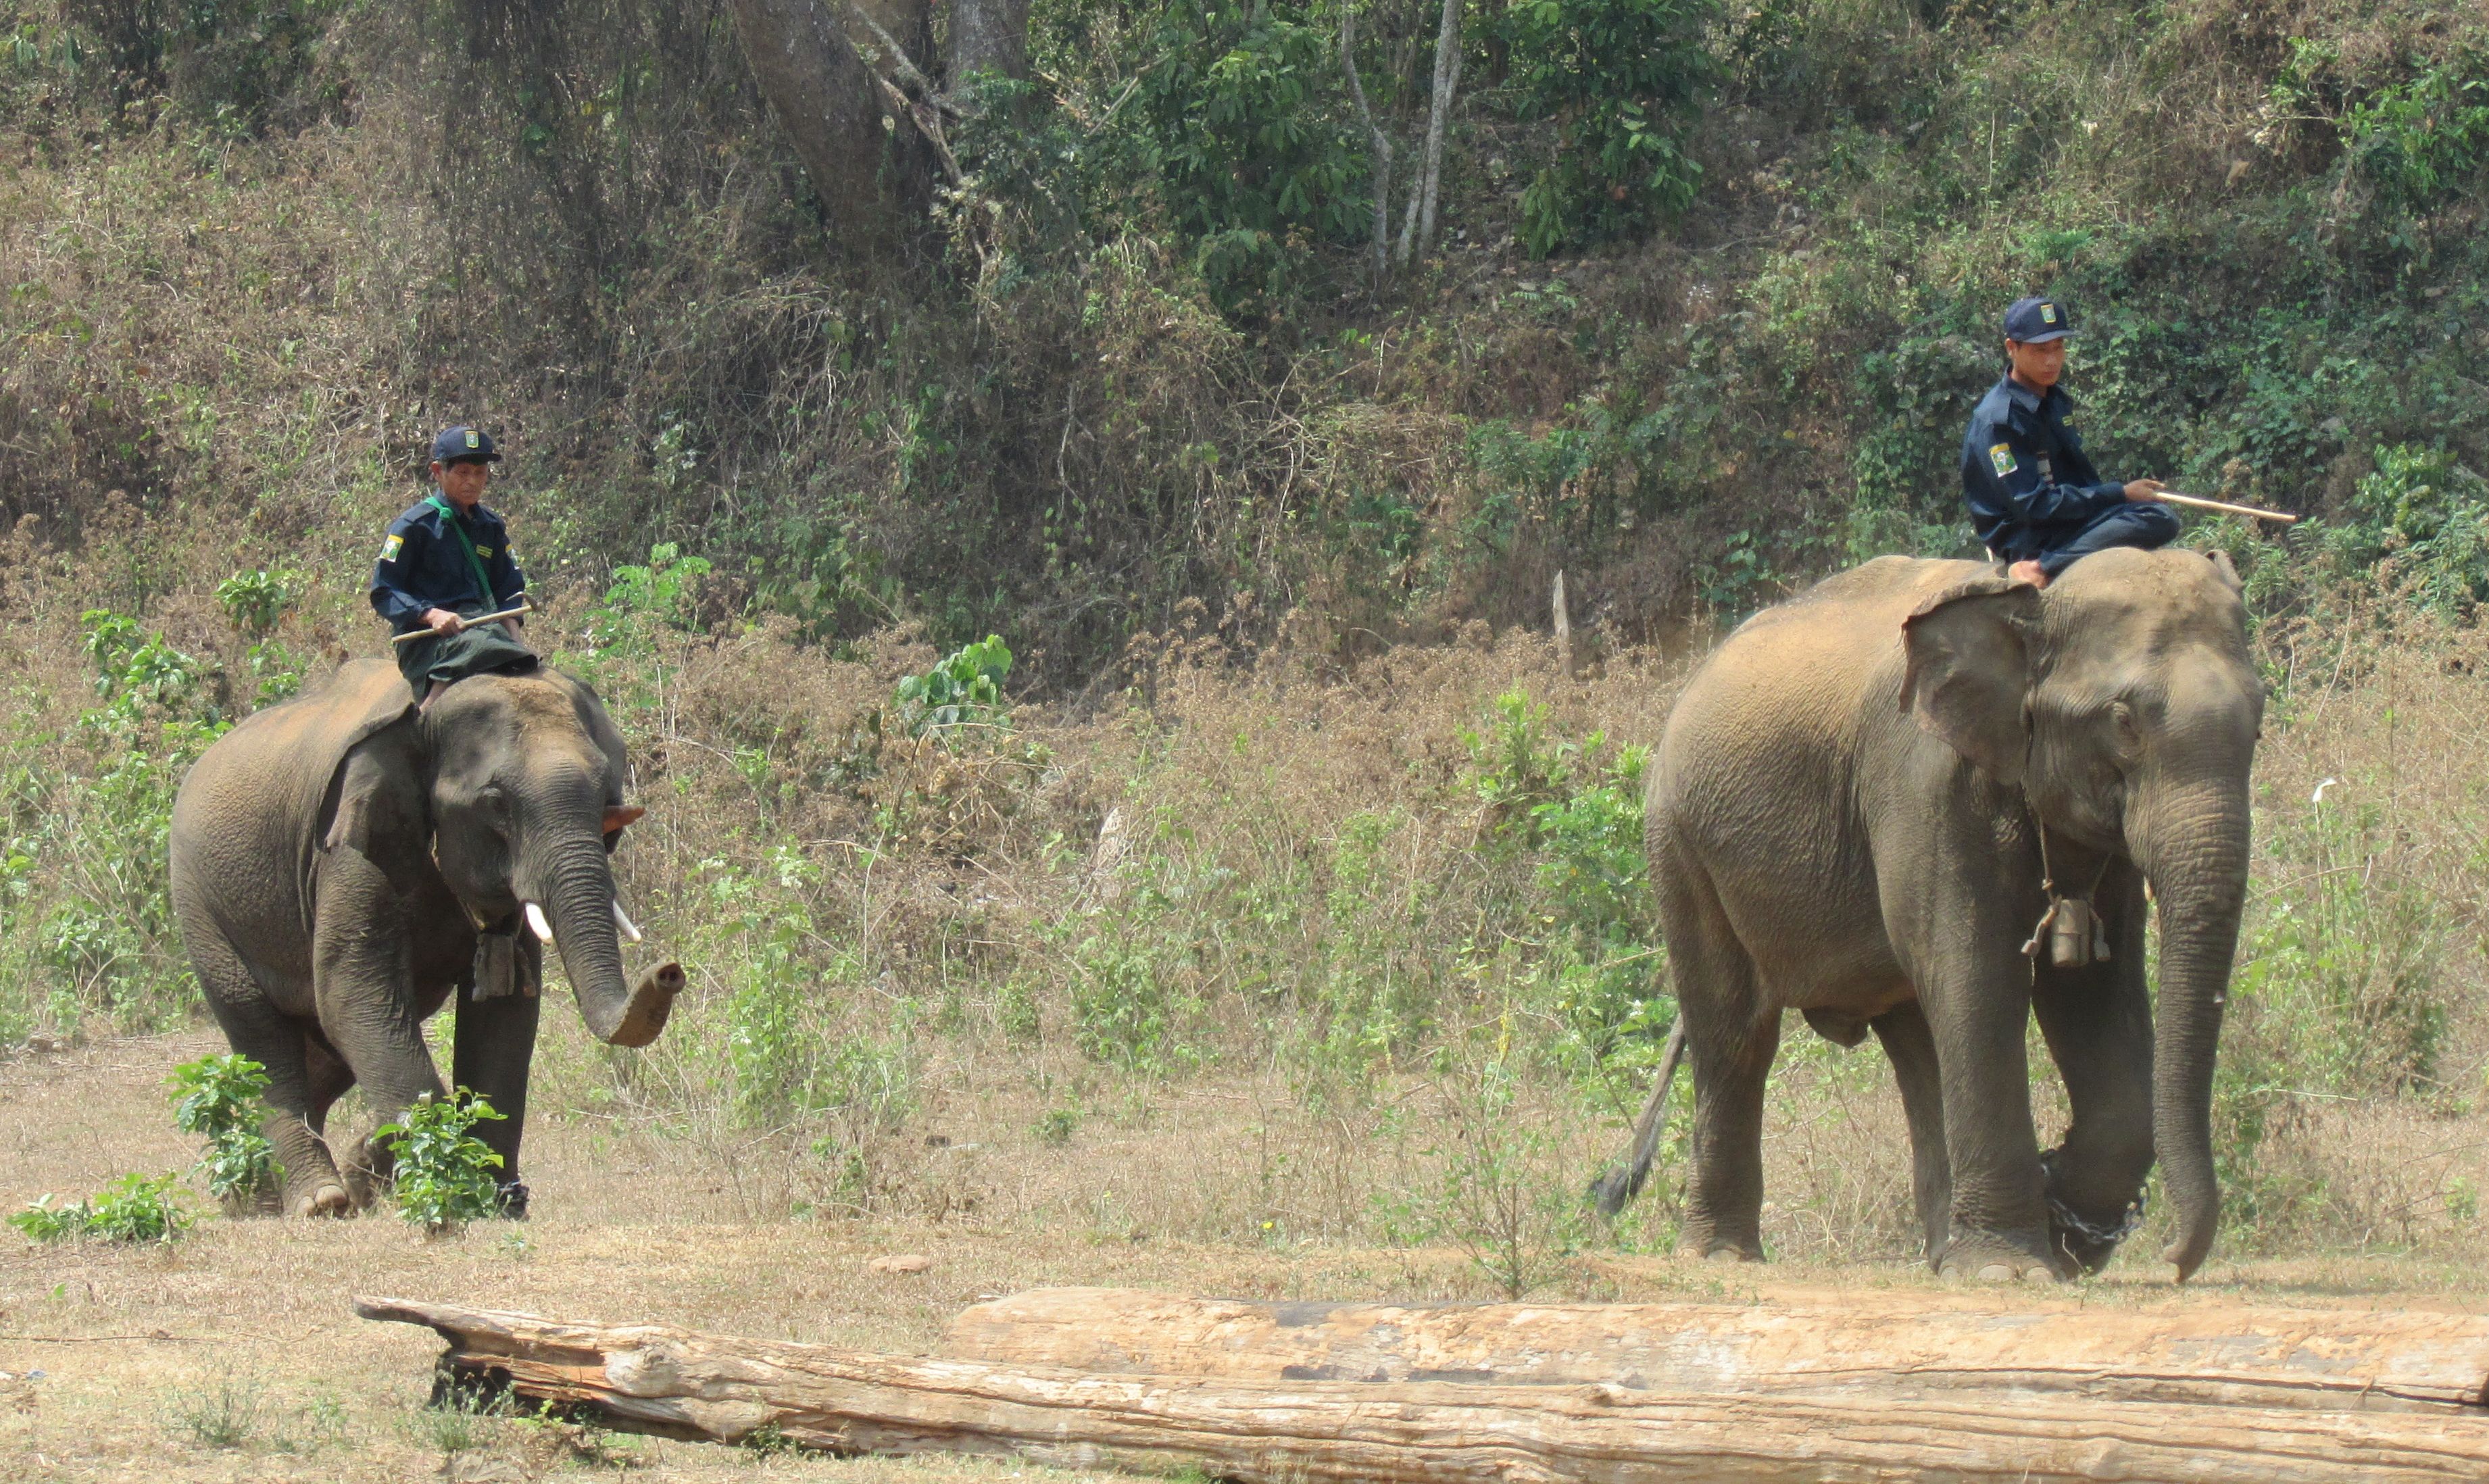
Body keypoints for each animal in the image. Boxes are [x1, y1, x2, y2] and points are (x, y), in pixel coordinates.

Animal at [169, 662, 682, 1215]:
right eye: (495, 804)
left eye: (606, 795)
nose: (670, 971)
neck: (426, 715)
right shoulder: (349, 846)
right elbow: (352, 993)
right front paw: (420, 1173)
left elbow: (506, 1013)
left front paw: (495, 1201)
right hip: (201, 908)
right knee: (262, 1036)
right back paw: (317, 1200)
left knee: (325, 1055)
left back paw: (257, 1192)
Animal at [1623, 550, 2269, 1285]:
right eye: (2122, 720)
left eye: (2258, 720)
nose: (2173, 1261)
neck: (2030, 607)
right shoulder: (1927, 786)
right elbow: (1979, 980)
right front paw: (2012, 1270)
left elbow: (2090, 995)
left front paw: (2056, 1233)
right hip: (1679, 844)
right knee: (1735, 1035)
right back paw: (1722, 1257)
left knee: (1916, 1038)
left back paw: (1941, 1253)